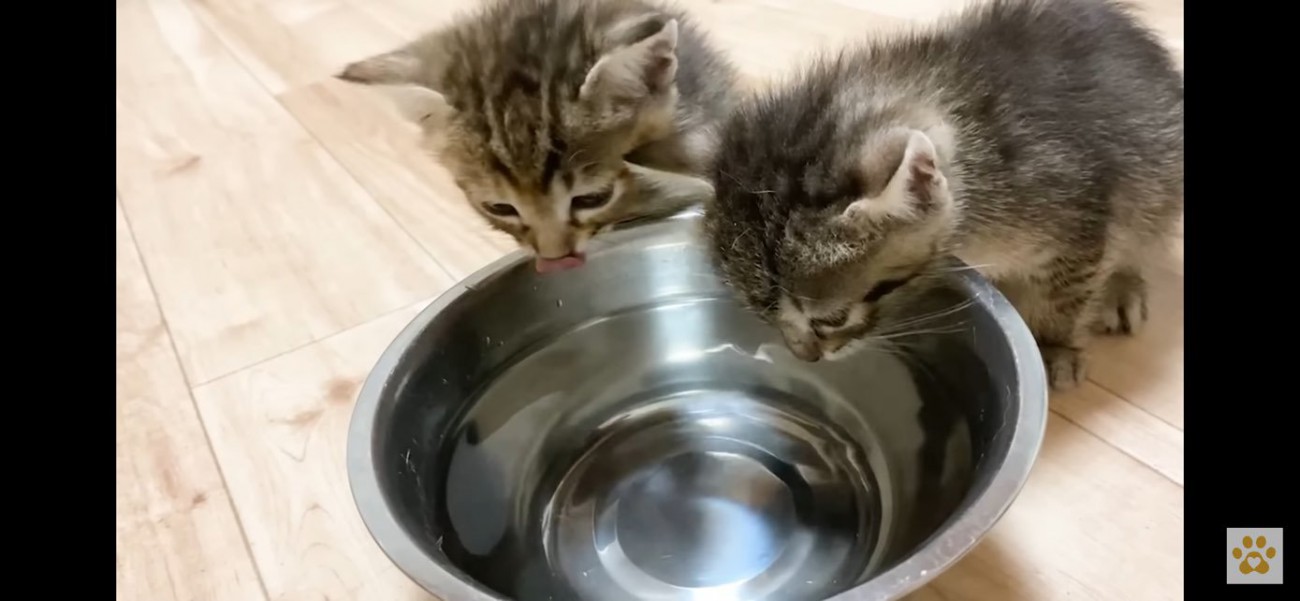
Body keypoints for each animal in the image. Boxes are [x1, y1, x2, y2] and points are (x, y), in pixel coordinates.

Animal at [707, 0, 1185, 390]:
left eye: (832, 320)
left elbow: (1063, 294)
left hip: (1160, 177)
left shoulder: (1077, 217)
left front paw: (1054, 347)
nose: (805, 356)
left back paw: (1123, 284)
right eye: (763, 316)